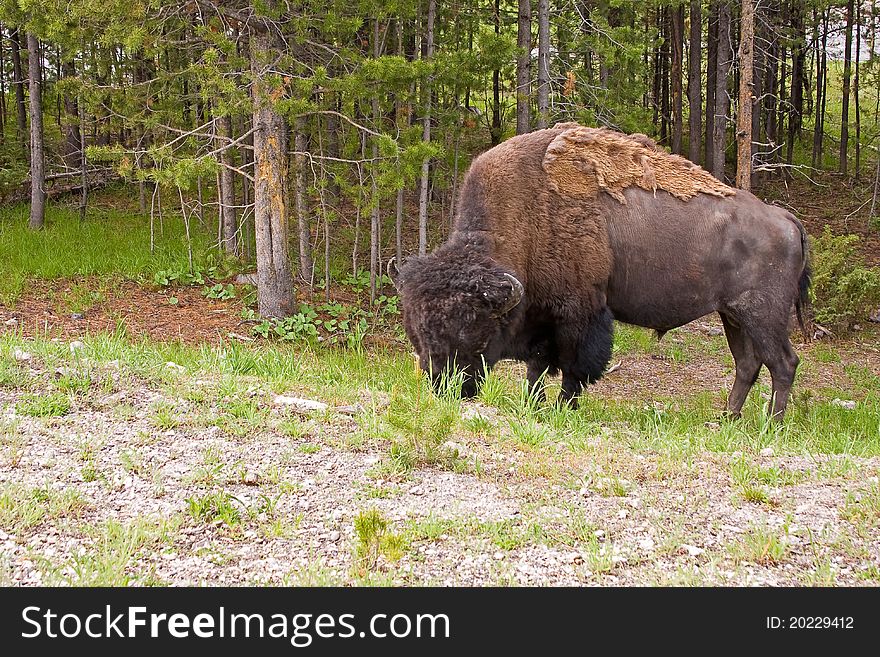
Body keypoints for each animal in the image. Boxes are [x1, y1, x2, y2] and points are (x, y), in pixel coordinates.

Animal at [392, 123, 812, 420]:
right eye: (417, 333)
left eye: (473, 332)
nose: (446, 389)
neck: (527, 215)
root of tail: (785, 218)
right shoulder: (542, 317)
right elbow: (536, 367)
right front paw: (534, 404)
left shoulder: (580, 312)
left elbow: (573, 367)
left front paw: (563, 407)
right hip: (733, 316)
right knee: (747, 363)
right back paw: (726, 418)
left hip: (764, 314)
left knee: (783, 363)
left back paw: (770, 424)